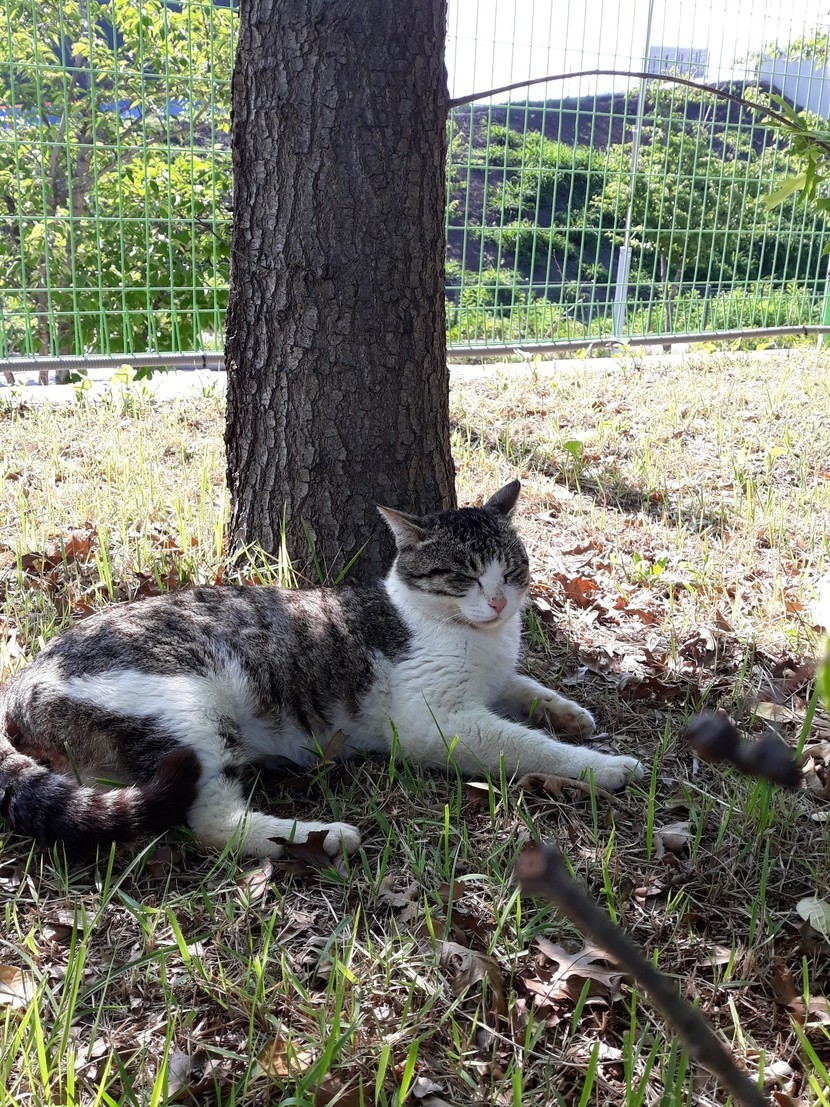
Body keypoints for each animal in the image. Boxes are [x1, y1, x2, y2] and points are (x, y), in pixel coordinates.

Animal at [0, 480, 642, 859]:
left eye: (510, 569)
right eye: (462, 575)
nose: (500, 602)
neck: (477, 636)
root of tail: (22, 683)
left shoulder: (495, 677)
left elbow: (525, 685)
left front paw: (571, 711)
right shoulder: (436, 723)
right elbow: (528, 745)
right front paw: (603, 766)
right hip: (183, 713)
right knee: (211, 822)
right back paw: (324, 837)